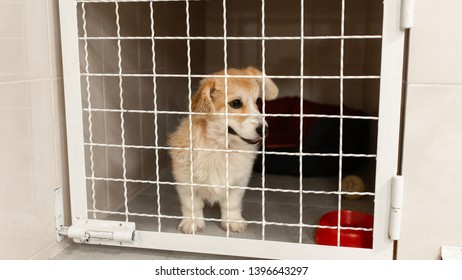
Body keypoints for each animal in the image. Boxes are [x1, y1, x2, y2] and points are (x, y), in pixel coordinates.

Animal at [169, 66, 278, 233]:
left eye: (258, 101)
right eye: (236, 103)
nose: (264, 130)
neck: (220, 147)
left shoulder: (238, 182)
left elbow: (231, 204)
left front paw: (232, 221)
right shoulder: (185, 180)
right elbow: (192, 205)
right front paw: (192, 223)